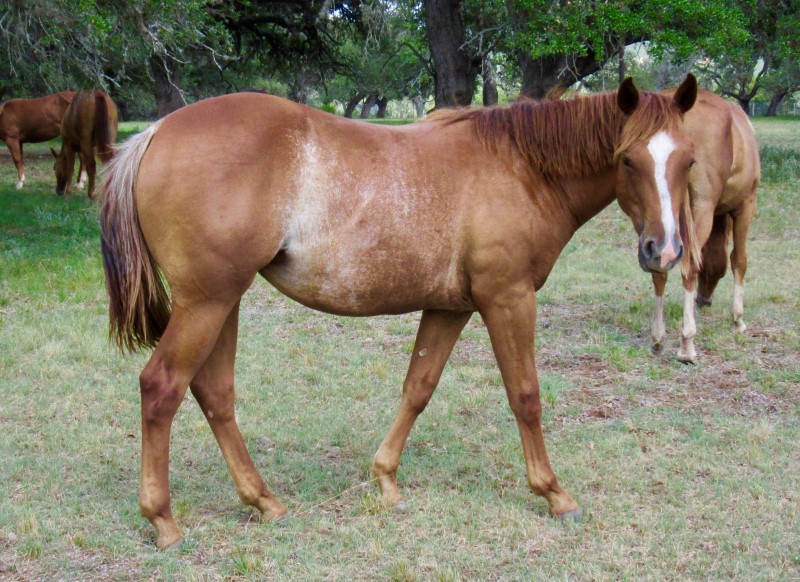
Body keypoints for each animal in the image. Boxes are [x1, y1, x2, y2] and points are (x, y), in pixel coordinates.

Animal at [101, 76, 700, 548]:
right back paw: (164, 521)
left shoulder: (449, 307)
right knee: (162, 387)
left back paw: (264, 501)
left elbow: (419, 386)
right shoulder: (507, 299)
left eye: (688, 160)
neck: (521, 167)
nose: (664, 251)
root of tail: (155, 133)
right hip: (208, 302)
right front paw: (553, 492)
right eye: (628, 159)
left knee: (214, 394)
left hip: (224, 302)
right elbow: (525, 395)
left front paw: (386, 479)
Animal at [648, 87, 760, 362]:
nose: (703, 300)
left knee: (658, 267)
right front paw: (738, 320)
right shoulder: (745, 205)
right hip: (703, 209)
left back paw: (658, 338)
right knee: (689, 266)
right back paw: (687, 343)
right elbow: (738, 259)